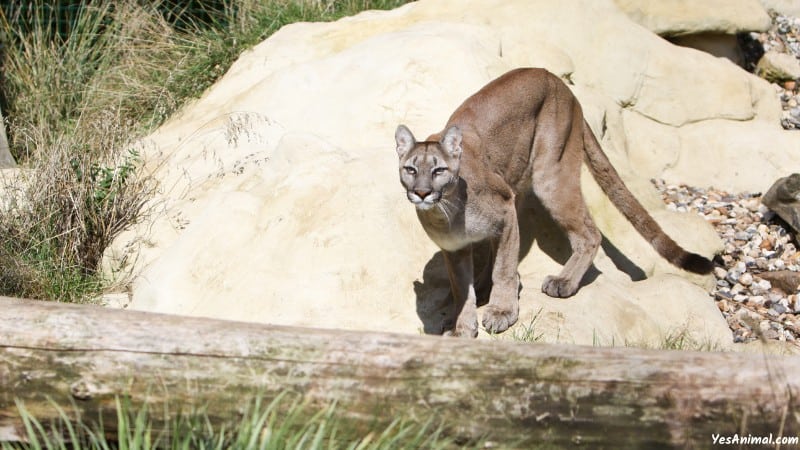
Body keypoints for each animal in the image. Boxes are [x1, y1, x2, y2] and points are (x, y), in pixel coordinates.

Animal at [396, 67, 716, 338]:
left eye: (439, 170)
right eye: (410, 169)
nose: (422, 193)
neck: (447, 213)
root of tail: (561, 84)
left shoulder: (504, 209)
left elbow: (504, 269)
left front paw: (502, 312)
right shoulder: (456, 247)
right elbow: (463, 289)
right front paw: (462, 328)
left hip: (550, 176)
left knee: (590, 233)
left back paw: (564, 282)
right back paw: (487, 287)